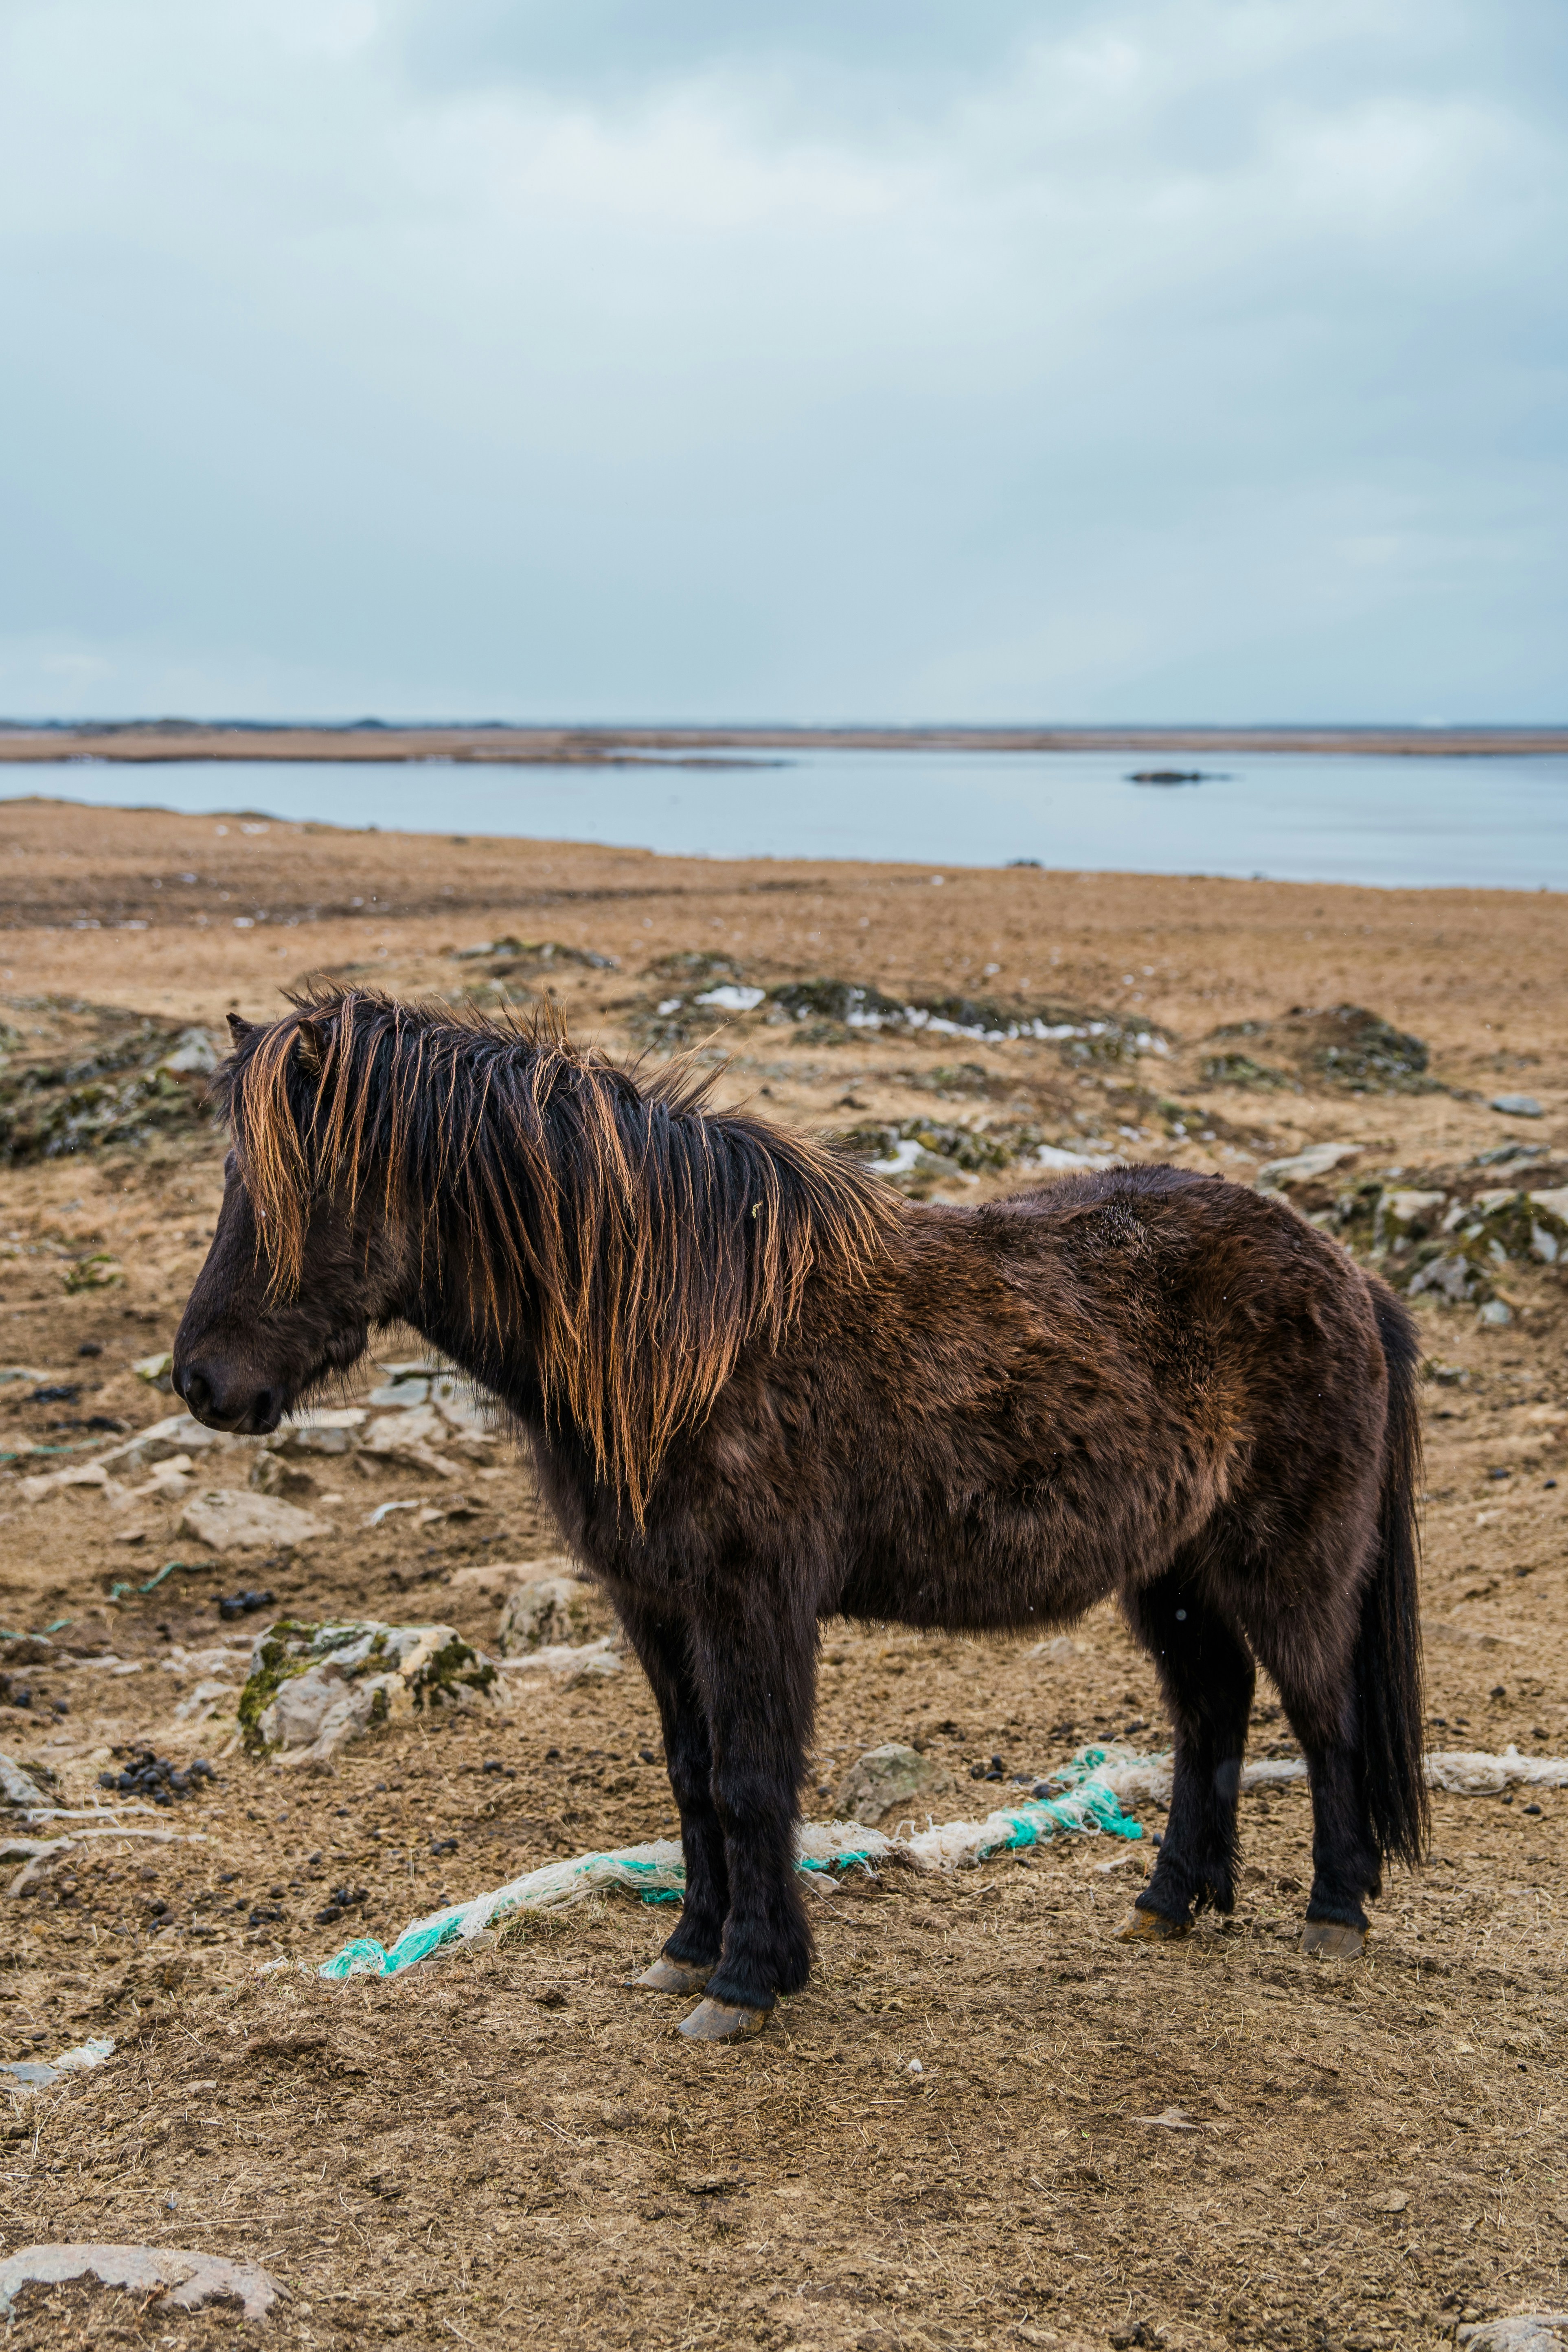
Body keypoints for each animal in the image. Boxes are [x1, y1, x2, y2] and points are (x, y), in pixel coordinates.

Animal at [172, 987, 1427, 2042]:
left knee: (1322, 1719)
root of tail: (1346, 1271)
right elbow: (690, 1774)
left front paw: (748, 1980)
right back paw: (1172, 1900)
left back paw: (1333, 1912)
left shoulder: (752, 1599)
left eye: (297, 1191)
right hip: (1173, 1574)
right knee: (1212, 1713)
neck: (680, 1327)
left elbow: (751, 1778)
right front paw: (689, 1945)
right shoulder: (655, 1604)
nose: (202, 1383)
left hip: (1287, 1564)